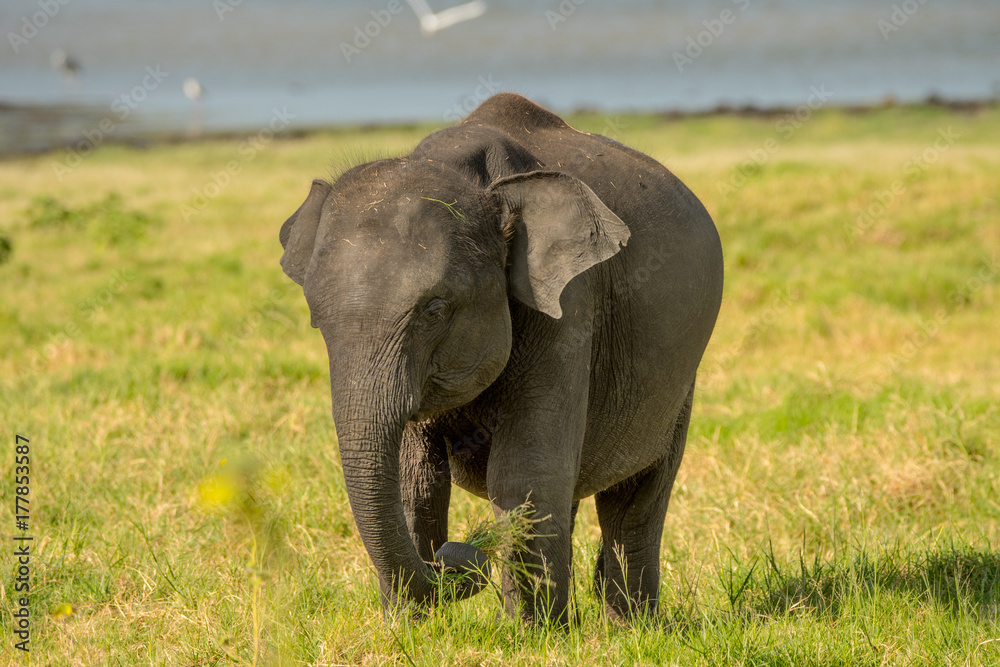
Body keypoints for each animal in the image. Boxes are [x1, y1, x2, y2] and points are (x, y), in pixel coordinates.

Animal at [279, 93, 723, 624]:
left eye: (434, 310)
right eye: (317, 319)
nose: (461, 557)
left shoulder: (570, 308)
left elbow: (522, 472)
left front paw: (528, 632)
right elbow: (416, 478)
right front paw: (406, 627)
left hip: (681, 376)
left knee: (637, 496)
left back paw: (629, 624)